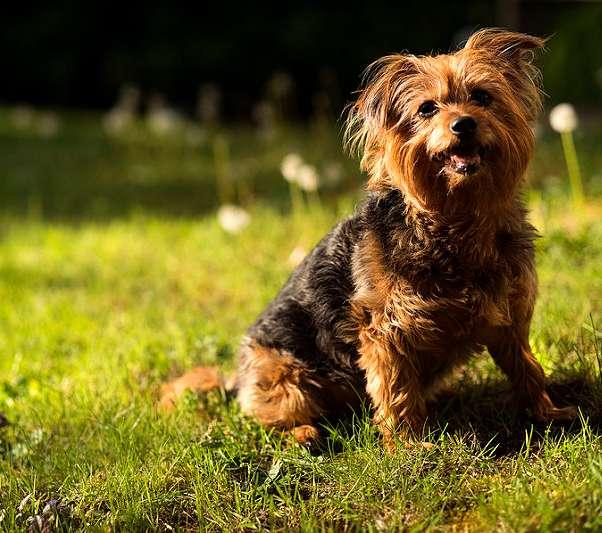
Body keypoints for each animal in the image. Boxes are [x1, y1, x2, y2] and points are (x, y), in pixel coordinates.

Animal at [159, 29, 576, 448]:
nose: (463, 124)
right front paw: (409, 445)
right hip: (281, 372)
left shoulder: (510, 314)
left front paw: (547, 413)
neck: (456, 217)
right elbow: (396, 389)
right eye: (427, 109)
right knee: (270, 416)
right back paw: (304, 433)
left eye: (482, 97)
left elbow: (526, 366)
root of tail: (235, 382)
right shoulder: (387, 330)